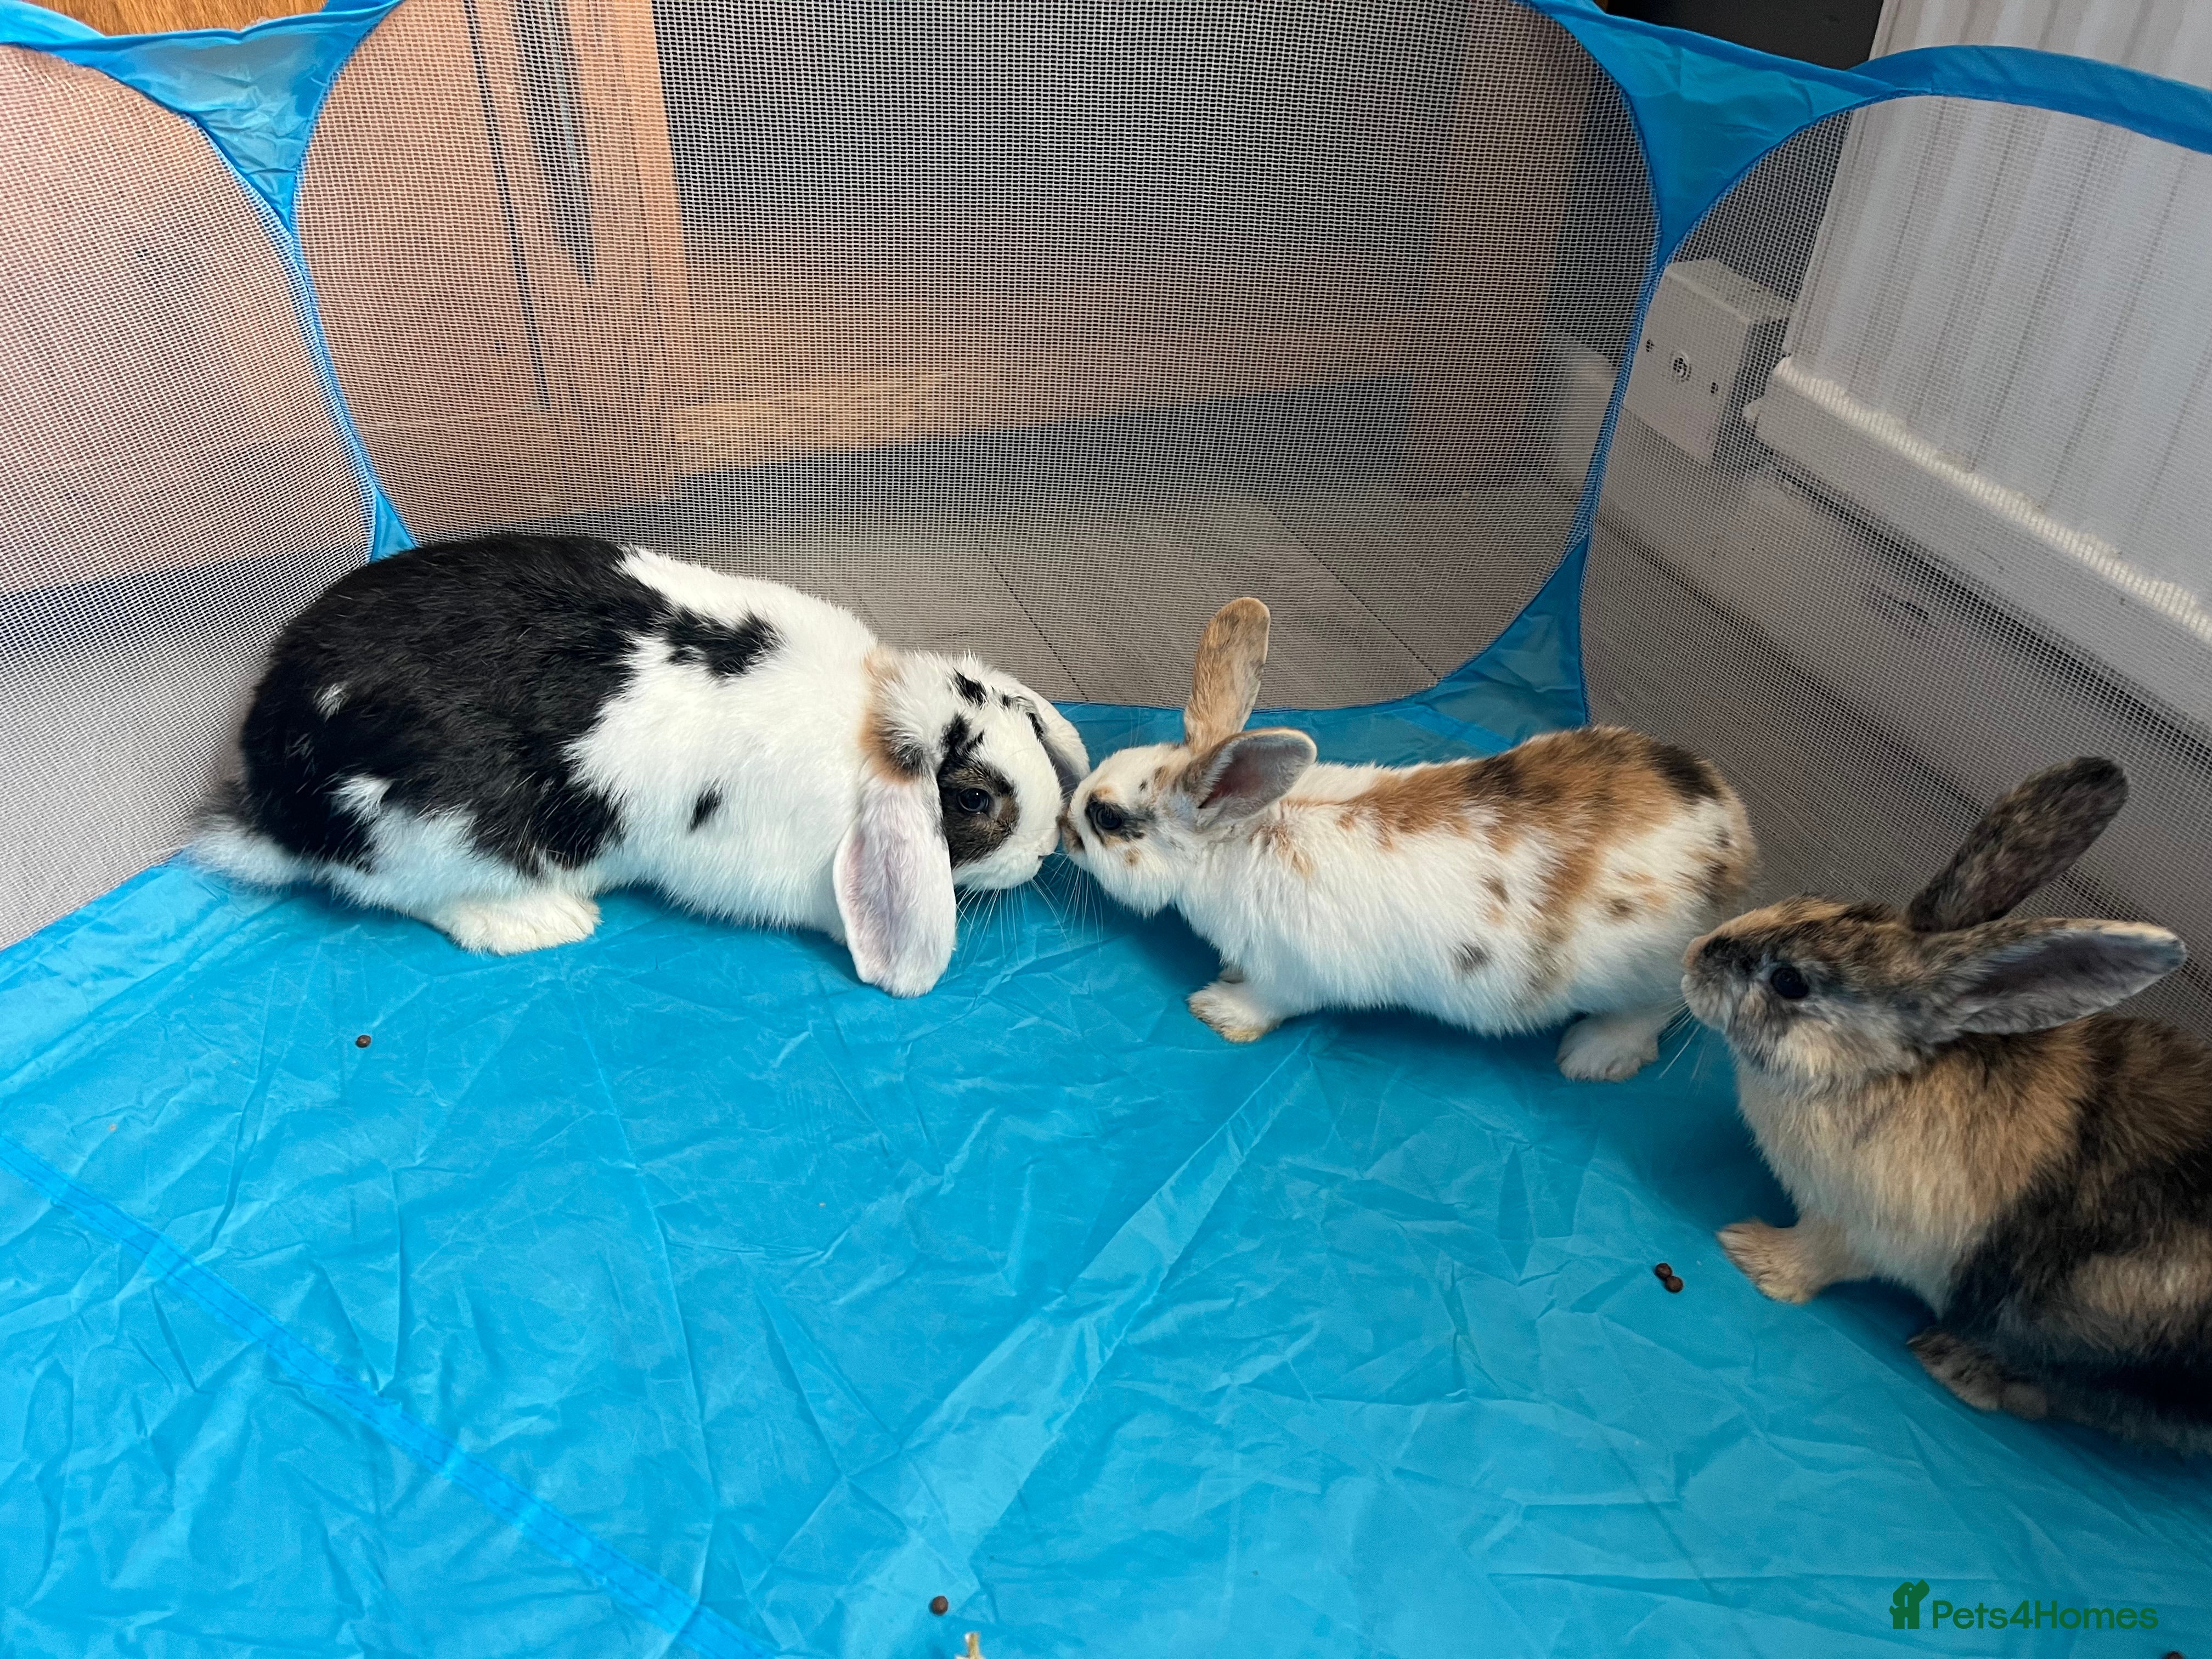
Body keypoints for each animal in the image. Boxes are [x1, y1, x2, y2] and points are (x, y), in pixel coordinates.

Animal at [192, 533, 1088, 997]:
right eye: (973, 801)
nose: (1047, 847)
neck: (869, 719)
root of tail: (272, 793)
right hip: (434, 840)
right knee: (408, 897)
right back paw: (542, 921)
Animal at [1060, 597, 1756, 1080]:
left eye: (1108, 819)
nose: (1063, 828)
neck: (1241, 838)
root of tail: (1733, 834)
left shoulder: (1293, 974)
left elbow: (1269, 1003)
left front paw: (1218, 1010)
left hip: (1648, 974)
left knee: (1658, 1010)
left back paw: (1592, 1056)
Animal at [1682, 756, 2212, 1451]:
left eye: (1790, 982)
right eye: (1808, 902)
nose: (1693, 958)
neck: (1877, 1073)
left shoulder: (1858, 1229)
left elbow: (1819, 1258)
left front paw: (1752, 1254)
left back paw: (1958, 1366)